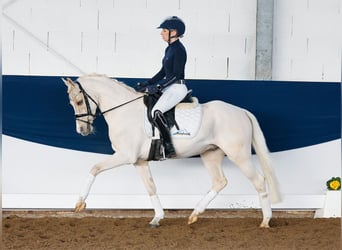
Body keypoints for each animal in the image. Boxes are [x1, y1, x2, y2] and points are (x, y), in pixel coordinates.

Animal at [62, 73, 282, 228]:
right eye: (71, 103)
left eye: (79, 101)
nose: (82, 131)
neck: (124, 111)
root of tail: (241, 111)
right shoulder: (139, 161)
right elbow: (151, 187)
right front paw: (157, 218)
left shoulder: (125, 156)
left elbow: (94, 168)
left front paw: (79, 204)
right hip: (210, 154)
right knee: (220, 182)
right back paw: (194, 214)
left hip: (239, 155)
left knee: (259, 180)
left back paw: (265, 221)